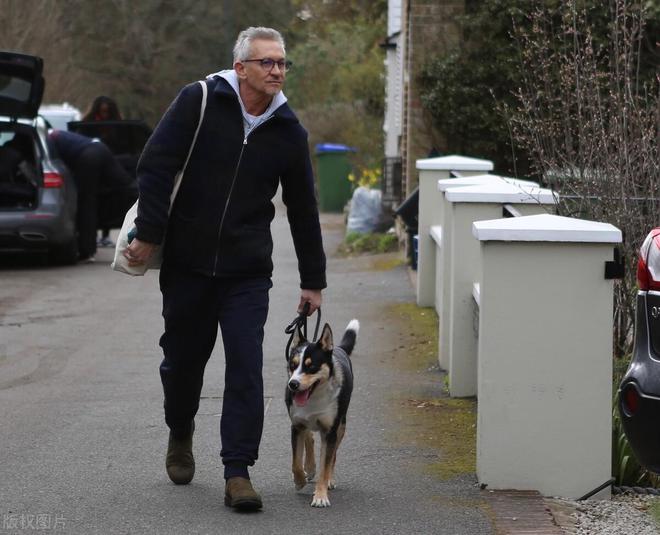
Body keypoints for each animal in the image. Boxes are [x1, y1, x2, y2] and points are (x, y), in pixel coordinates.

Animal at [282, 320, 356, 508]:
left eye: (312, 367)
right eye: (293, 365)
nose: (293, 384)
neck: (314, 397)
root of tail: (337, 348)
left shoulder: (330, 431)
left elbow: (326, 465)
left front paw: (321, 496)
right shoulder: (296, 425)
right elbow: (296, 462)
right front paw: (300, 479)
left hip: (341, 426)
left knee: (333, 455)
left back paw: (328, 479)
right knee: (309, 437)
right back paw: (309, 467)